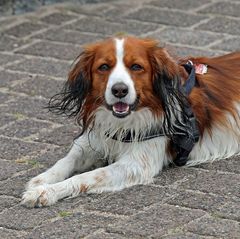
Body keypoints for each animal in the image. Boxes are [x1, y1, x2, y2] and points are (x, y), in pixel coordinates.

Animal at [21, 36, 239, 207]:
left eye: (136, 67)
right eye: (104, 67)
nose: (119, 90)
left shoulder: (136, 164)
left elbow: (87, 176)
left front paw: (47, 192)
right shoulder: (96, 139)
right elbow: (66, 160)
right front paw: (42, 181)